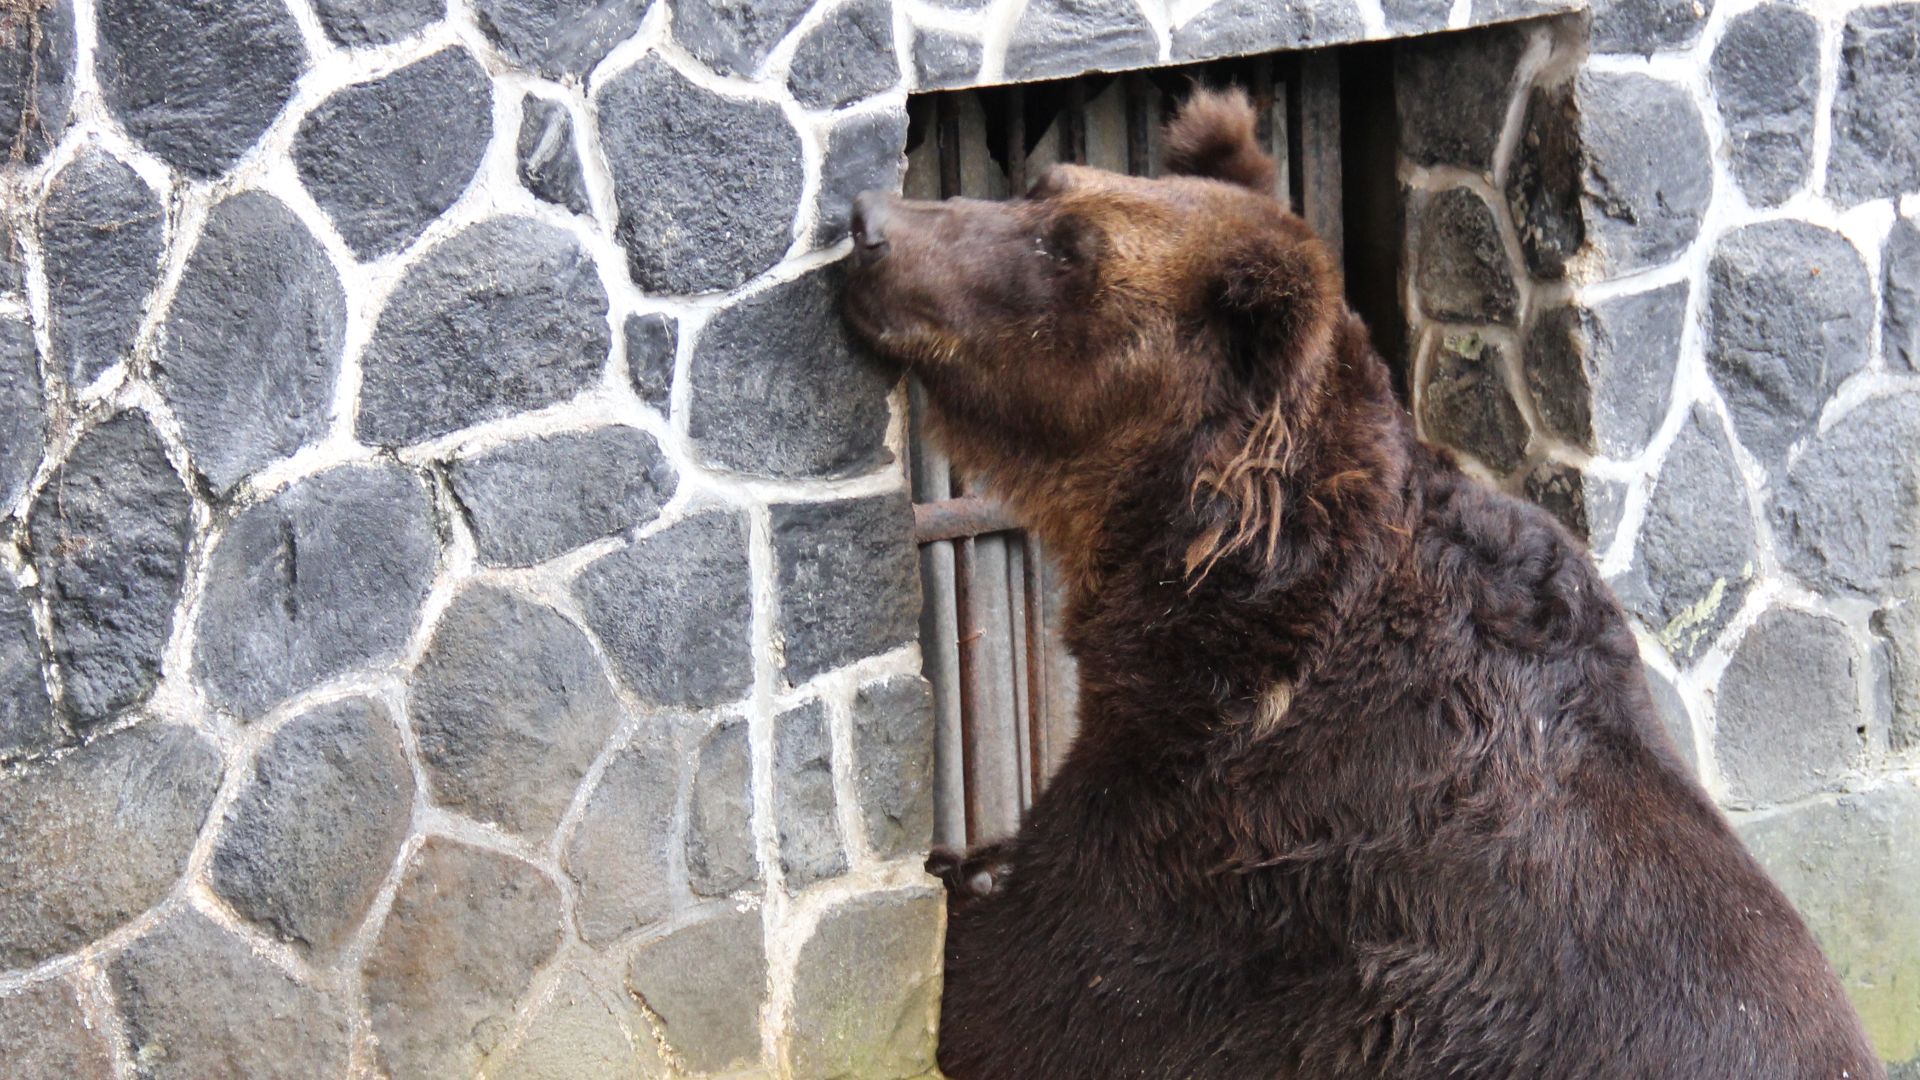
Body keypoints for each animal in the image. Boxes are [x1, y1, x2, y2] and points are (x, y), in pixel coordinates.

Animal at [841, 90, 1883, 1080]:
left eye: (1069, 252)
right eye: (1041, 187)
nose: (869, 220)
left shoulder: (1245, 837)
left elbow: (1044, 983)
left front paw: (962, 891)